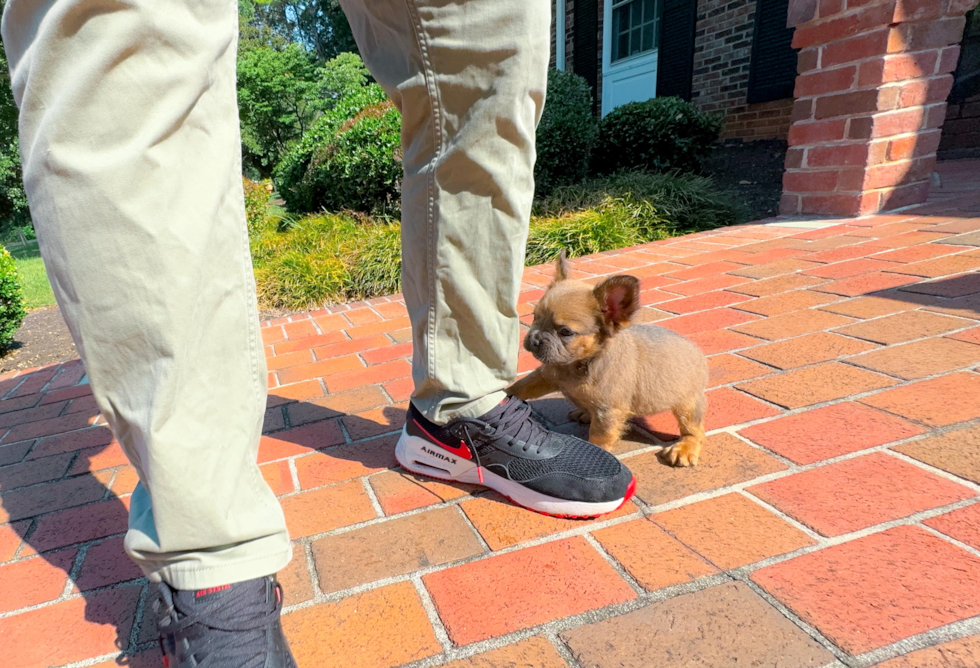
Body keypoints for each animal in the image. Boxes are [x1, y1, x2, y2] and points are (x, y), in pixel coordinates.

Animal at [510, 253, 708, 468]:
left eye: (565, 332)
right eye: (534, 317)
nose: (534, 338)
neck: (577, 364)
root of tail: (695, 350)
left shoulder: (607, 412)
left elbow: (599, 438)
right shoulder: (546, 376)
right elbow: (523, 386)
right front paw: (504, 395)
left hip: (688, 405)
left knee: (694, 430)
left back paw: (685, 448)